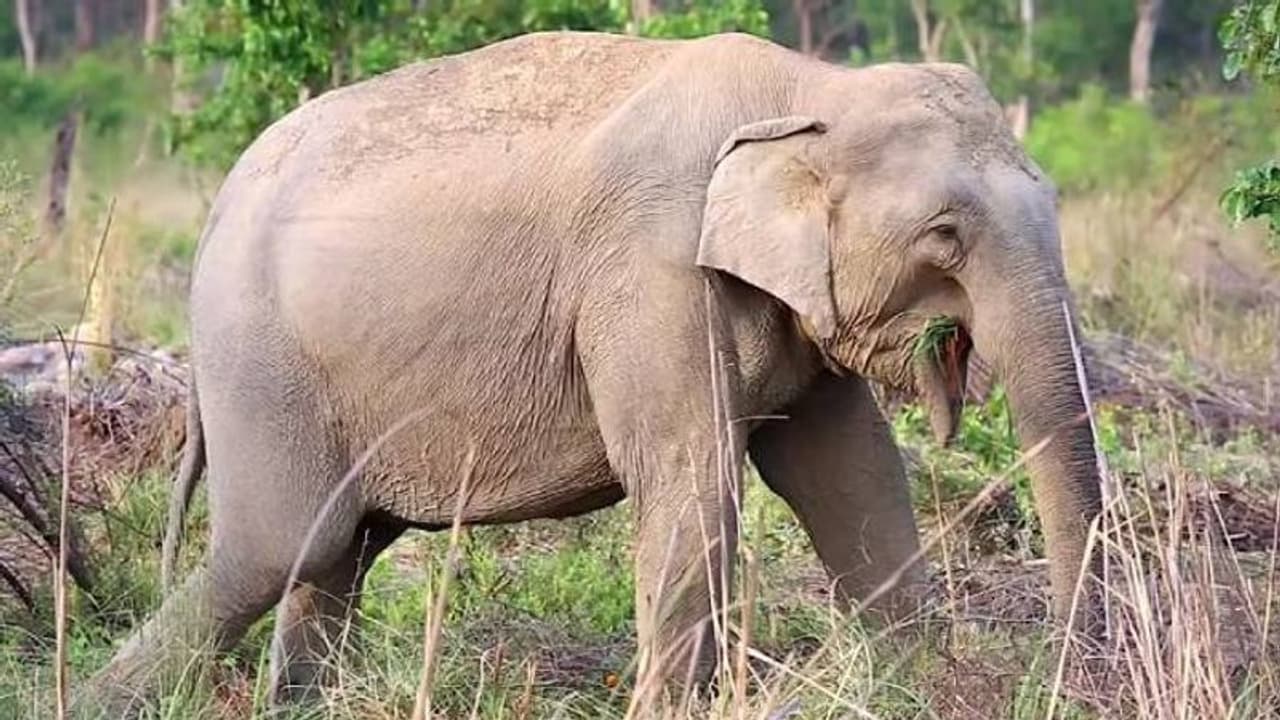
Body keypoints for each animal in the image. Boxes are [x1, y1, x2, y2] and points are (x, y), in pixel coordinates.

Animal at [82, 29, 1103, 714]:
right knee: (276, 545)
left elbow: (852, 477)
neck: (810, 88)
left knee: (334, 553)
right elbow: (695, 482)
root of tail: (215, 210)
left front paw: (918, 690)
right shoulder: (649, 267)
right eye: (946, 234)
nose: (1062, 679)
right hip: (260, 360)